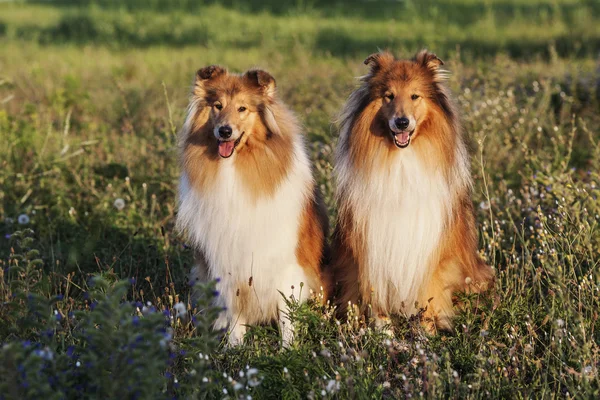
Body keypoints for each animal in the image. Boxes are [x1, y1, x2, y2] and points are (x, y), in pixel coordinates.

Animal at [176, 65, 330, 344]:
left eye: (242, 108)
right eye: (218, 106)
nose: (224, 131)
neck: (235, 168)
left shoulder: (284, 260)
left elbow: (286, 313)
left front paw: (288, 348)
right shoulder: (227, 263)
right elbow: (235, 311)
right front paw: (235, 347)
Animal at [330, 50, 494, 332]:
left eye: (415, 96)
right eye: (389, 96)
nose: (402, 122)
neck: (401, 161)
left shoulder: (430, 244)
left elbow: (429, 290)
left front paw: (427, 329)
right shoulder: (372, 241)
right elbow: (375, 288)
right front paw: (383, 329)